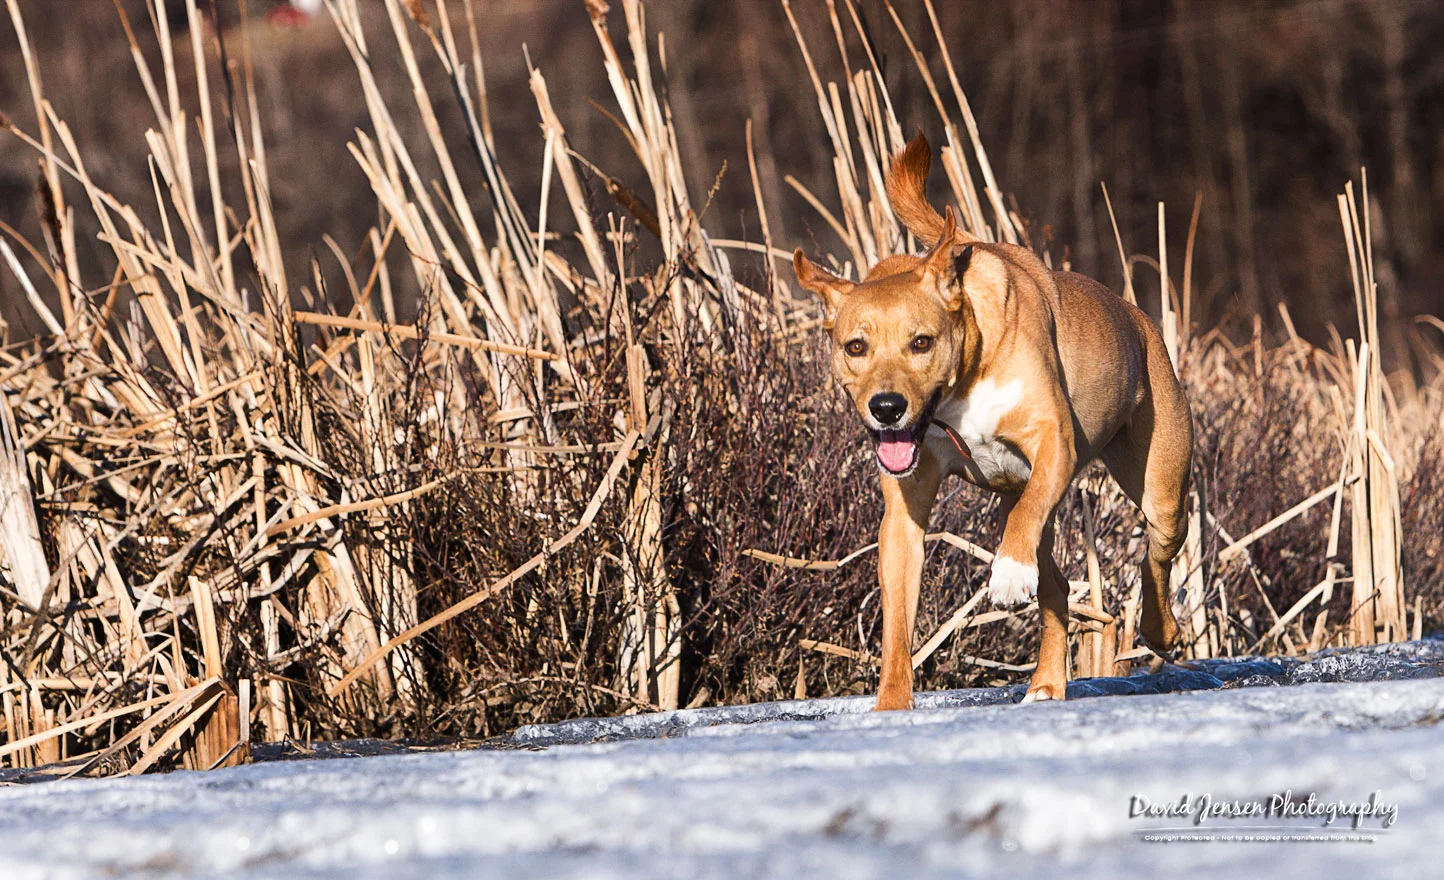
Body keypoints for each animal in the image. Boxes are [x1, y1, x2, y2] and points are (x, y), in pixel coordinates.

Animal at [791, 134, 1193, 710]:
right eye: (855, 347)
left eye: (921, 341)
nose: (887, 407)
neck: (958, 391)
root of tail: (1139, 321)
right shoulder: (904, 515)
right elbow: (897, 625)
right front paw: (890, 708)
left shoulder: (1054, 443)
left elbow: (1026, 515)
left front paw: (1005, 576)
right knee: (1056, 587)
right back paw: (1046, 683)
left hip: (1162, 484)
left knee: (1153, 552)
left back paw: (1159, 630)